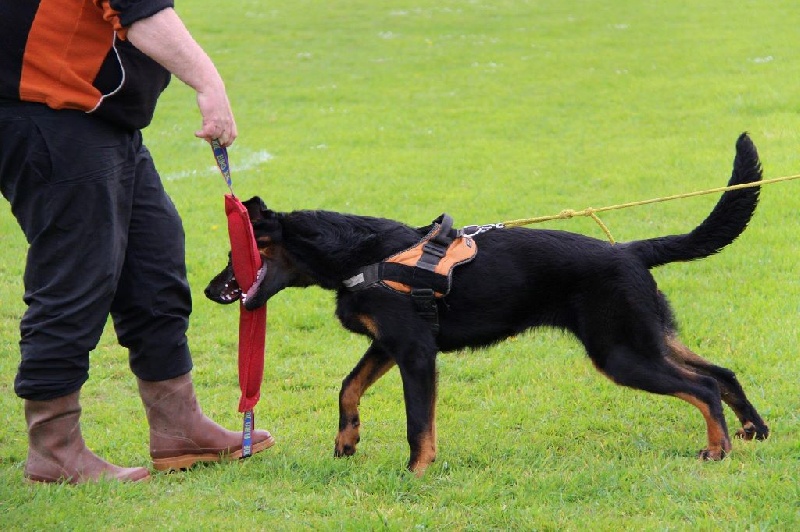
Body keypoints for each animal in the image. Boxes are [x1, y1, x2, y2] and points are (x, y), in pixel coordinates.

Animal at [206, 132, 768, 474]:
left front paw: (417, 472)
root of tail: (629, 250)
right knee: (720, 374)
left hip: (621, 353)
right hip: (647, 338)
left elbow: (418, 422)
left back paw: (718, 448)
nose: (211, 291)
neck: (361, 253)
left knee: (702, 386)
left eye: (235, 255)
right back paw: (752, 430)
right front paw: (347, 442)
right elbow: (348, 388)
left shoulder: (414, 354)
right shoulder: (386, 347)